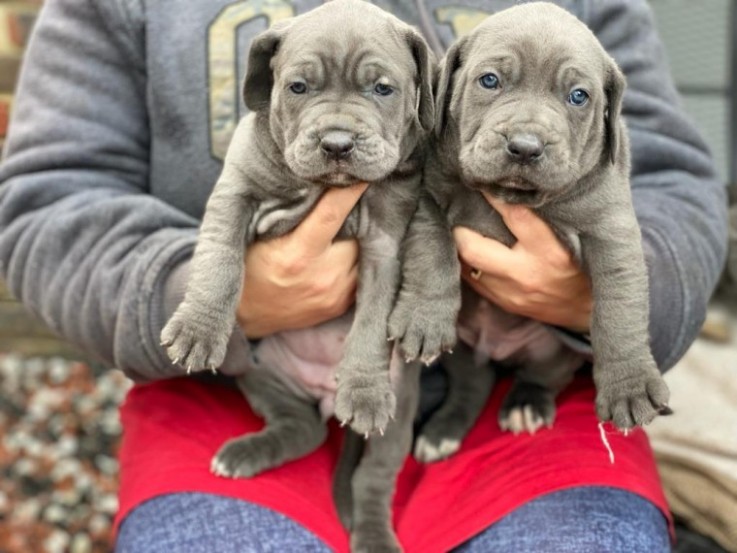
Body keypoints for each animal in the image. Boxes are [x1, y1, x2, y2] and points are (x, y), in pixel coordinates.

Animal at [157, 0, 432, 548]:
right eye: (298, 88)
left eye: (383, 89)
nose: (337, 142)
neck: (324, 187)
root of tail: (323, 400)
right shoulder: (235, 192)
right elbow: (219, 261)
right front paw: (198, 329)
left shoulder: (385, 245)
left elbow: (372, 319)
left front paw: (363, 387)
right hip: (260, 373)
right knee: (301, 427)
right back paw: (246, 454)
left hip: (398, 419)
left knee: (372, 478)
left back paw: (373, 534)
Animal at [392, 2, 672, 452]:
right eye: (490, 80)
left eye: (578, 96)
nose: (525, 146)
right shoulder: (426, 196)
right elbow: (432, 251)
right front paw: (424, 317)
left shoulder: (611, 230)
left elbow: (619, 307)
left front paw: (629, 385)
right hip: (465, 348)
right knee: (472, 382)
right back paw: (443, 431)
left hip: (554, 353)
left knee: (539, 377)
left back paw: (526, 405)